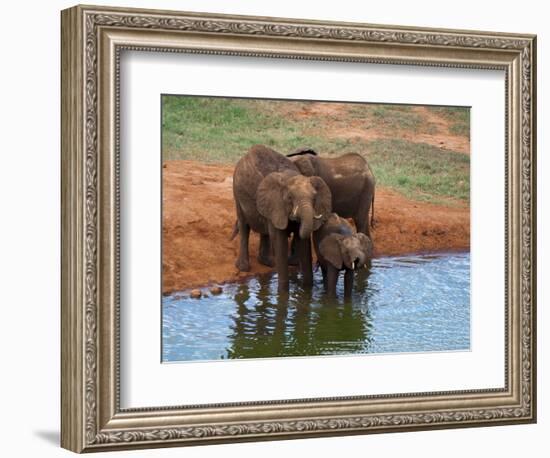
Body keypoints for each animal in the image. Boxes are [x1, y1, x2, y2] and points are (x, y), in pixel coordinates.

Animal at [233, 145, 332, 292]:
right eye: (290, 198)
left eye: (314, 198)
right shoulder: (277, 204)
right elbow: (280, 241)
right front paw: (283, 293)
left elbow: (303, 242)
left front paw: (306, 290)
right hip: (237, 192)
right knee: (244, 225)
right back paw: (243, 267)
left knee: (264, 229)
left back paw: (267, 262)